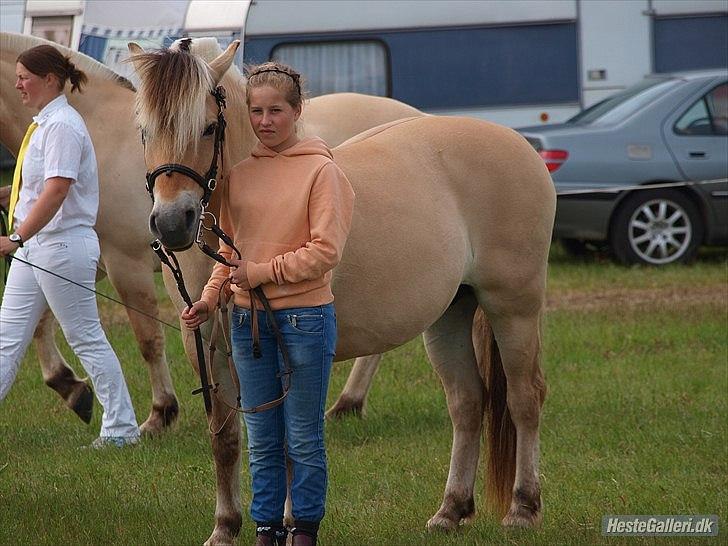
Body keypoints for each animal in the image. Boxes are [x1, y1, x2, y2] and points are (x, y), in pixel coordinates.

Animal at [129, 40, 552, 540]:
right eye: (144, 131)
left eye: (208, 127)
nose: (172, 222)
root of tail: (519, 144)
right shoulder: (207, 350)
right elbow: (228, 437)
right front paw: (226, 528)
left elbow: (288, 439)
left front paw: (290, 522)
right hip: (450, 314)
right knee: (468, 402)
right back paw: (451, 509)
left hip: (513, 308)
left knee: (525, 398)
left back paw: (523, 507)